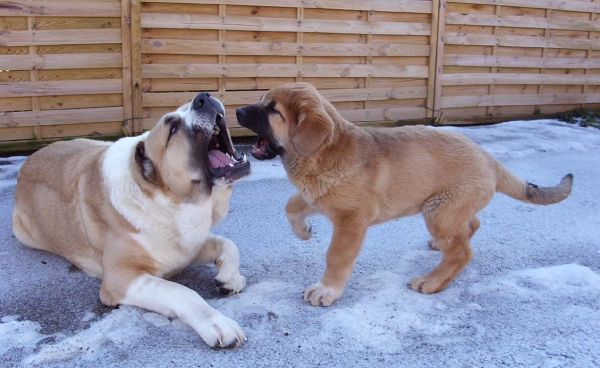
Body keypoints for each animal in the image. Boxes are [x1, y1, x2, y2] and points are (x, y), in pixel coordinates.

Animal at [12, 92, 251, 348]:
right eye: (173, 128)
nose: (203, 97)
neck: (171, 201)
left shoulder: (188, 246)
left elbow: (228, 244)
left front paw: (230, 277)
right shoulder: (121, 279)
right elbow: (182, 292)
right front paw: (215, 322)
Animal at [236, 82, 572, 308]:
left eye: (273, 109)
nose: (237, 109)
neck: (324, 151)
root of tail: (488, 157)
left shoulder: (351, 220)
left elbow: (336, 256)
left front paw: (327, 289)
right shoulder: (318, 196)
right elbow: (291, 204)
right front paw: (303, 231)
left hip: (440, 210)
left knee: (463, 251)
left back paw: (432, 281)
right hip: (446, 208)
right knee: (470, 227)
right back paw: (439, 248)